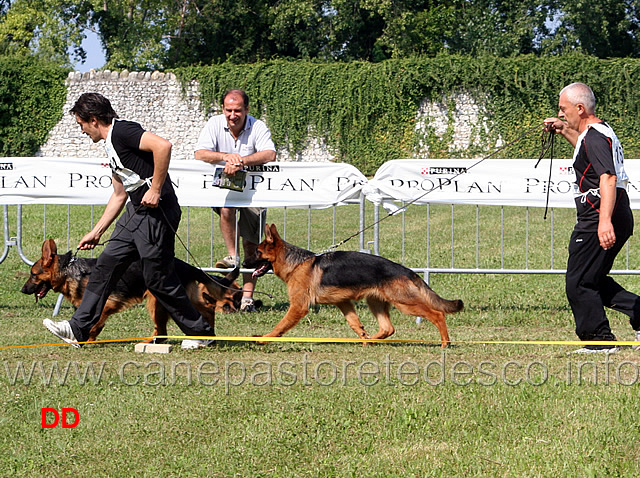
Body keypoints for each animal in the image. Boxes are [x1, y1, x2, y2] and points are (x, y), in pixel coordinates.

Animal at [21, 241, 242, 342]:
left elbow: (95, 323)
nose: (23, 290)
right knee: (206, 309)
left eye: (33, 274)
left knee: (164, 329)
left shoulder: (107, 303)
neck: (70, 271)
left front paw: (86, 338)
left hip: (156, 301)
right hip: (182, 299)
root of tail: (183, 265)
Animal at [242, 224, 462, 348]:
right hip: (376, 302)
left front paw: (264, 339)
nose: (243, 264)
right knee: (388, 328)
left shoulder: (298, 307)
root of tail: (406, 271)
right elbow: (355, 323)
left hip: (405, 303)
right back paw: (370, 340)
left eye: (258, 252)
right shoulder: (344, 302)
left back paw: (445, 343)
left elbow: (280, 326)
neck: (296, 263)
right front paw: (363, 337)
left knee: (437, 314)